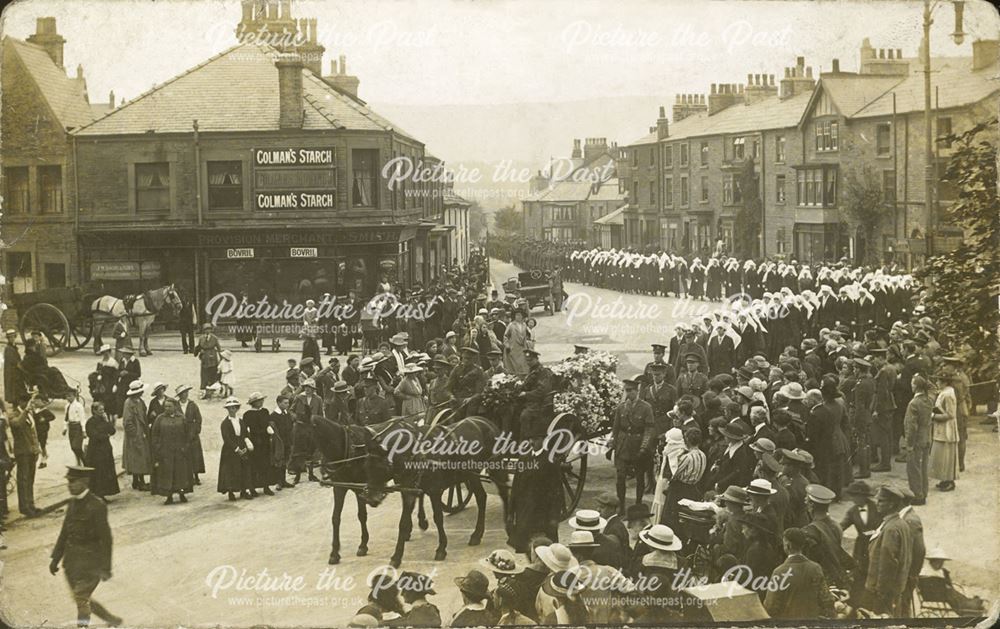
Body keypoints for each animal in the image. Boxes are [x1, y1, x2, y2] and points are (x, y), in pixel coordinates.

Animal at [364, 414, 512, 568]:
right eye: (366, 466)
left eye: (381, 467)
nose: (370, 498)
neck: (417, 454)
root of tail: (486, 421)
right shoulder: (409, 492)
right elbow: (403, 523)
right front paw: (397, 556)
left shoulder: (434, 491)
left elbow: (438, 518)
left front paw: (441, 548)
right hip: (471, 475)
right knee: (481, 497)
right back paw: (477, 534)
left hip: (495, 466)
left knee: (503, 493)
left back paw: (507, 526)